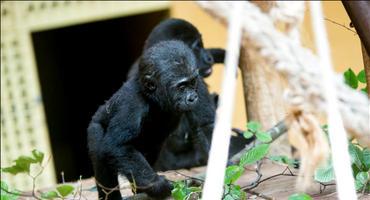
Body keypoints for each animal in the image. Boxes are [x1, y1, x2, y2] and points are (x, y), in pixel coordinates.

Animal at [88, 39, 204, 199]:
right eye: (182, 87)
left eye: (192, 82)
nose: (193, 97)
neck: (151, 97)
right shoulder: (131, 103)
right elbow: (118, 145)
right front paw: (158, 185)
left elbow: (155, 142)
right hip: (94, 129)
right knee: (101, 155)